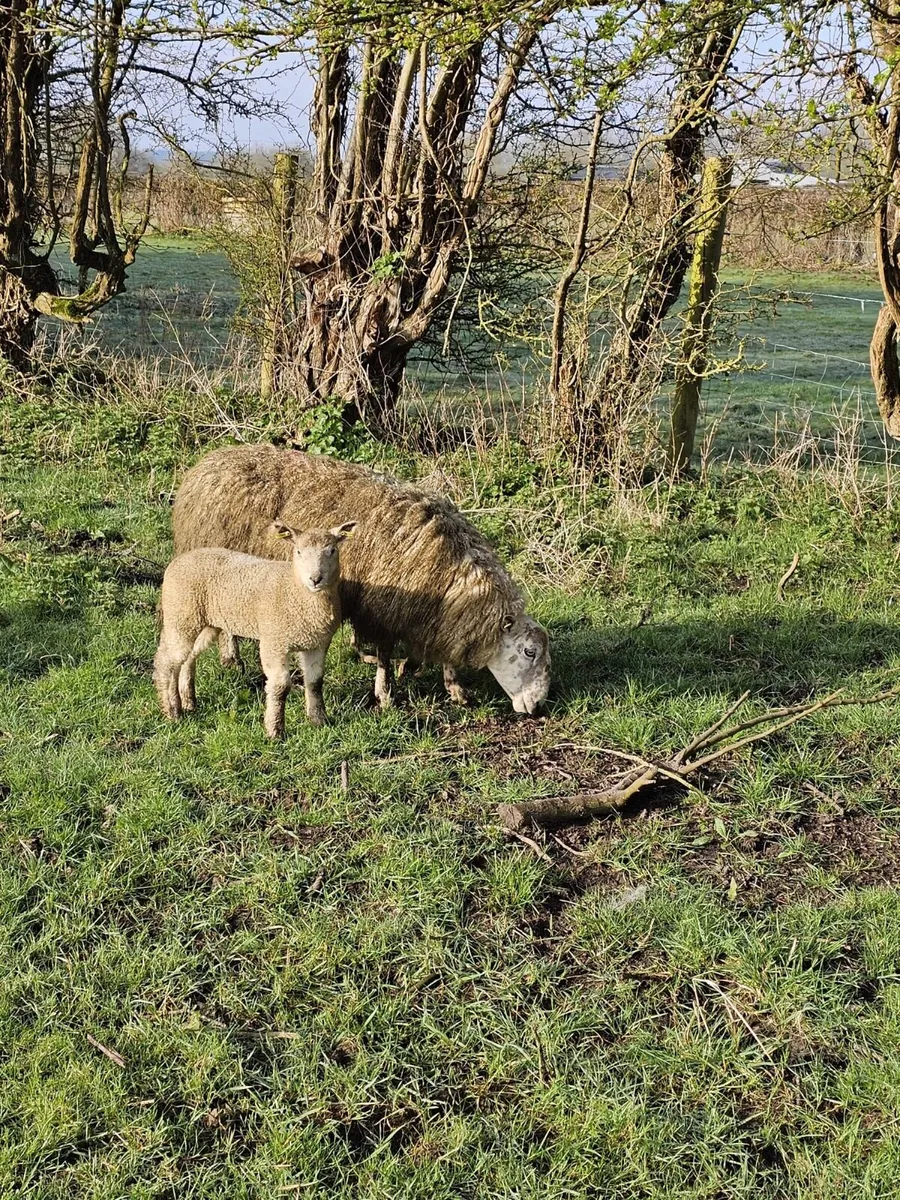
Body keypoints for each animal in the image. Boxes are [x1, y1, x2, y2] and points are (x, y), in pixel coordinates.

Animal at [154, 520, 356, 737]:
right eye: (298, 551)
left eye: (332, 550)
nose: (315, 579)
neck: (295, 589)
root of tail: (176, 562)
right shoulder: (274, 640)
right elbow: (280, 686)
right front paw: (275, 731)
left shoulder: (318, 644)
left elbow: (315, 682)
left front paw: (319, 721)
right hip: (180, 615)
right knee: (166, 662)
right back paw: (172, 710)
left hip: (205, 622)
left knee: (187, 658)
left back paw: (188, 701)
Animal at [171, 445, 551, 714]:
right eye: (529, 652)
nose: (538, 707)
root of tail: (207, 462)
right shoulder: (384, 608)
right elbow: (384, 653)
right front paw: (385, 693)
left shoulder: (433, 613)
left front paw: (449, 684)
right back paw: (231, 659)